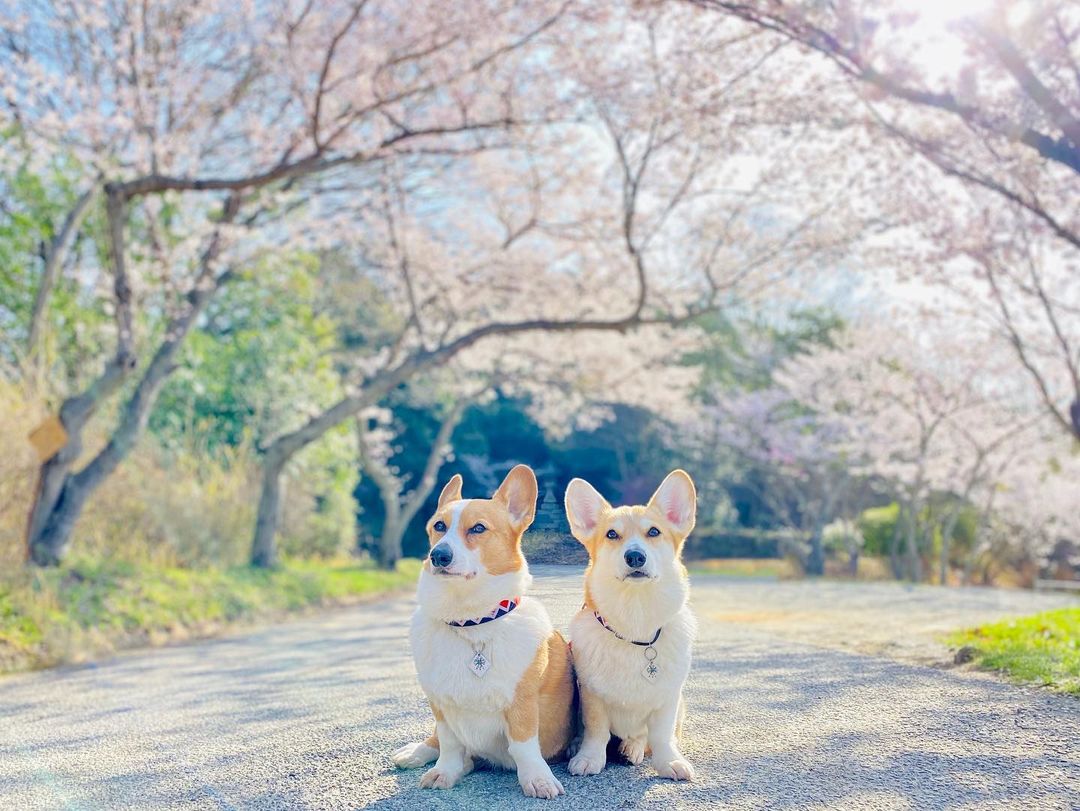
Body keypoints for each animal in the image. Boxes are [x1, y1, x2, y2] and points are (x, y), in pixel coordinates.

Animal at [388, 462, 574, 799]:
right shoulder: (441, 705)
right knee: (439, 742)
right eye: (438, 526)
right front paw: (444, 772)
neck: (471, 622)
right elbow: (448, 742)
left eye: (478, 529)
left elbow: (524, 745)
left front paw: (537, 779)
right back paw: (417, 752)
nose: (438, 555)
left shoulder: (522, 703)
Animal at [561, 472, 695, 781]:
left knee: (642, 737)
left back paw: (631, 749)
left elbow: (662, 735)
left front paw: (669, 761)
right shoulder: (592, 695)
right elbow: (596, 731)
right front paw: (589, 758)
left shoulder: (669, 697)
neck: (636, 622)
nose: (635, 556)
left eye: (654, 532)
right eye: (612, 535)